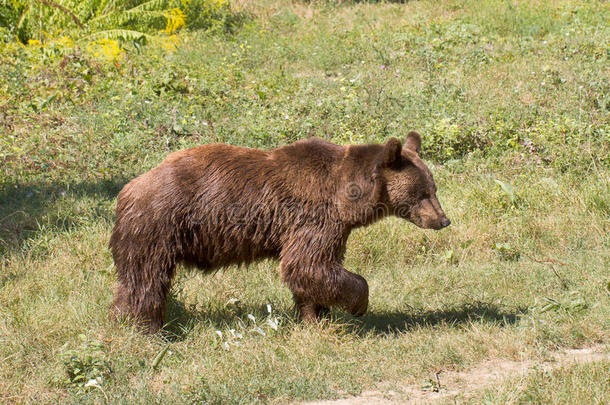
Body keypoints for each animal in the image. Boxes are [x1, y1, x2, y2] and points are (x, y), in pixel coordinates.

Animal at [109, 132, 448, 332]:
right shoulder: (314, 216)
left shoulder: (332, 228)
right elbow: (308, 263)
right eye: (422, 193)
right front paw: (358, 304)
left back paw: (123, 319)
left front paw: (315, 316)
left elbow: (312, 271)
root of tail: (129, 189)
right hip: (159, 225)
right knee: (147, 279)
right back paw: (147, 327)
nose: (443, 220)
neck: (347, 196)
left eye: (433, 188)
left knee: (132, 280)